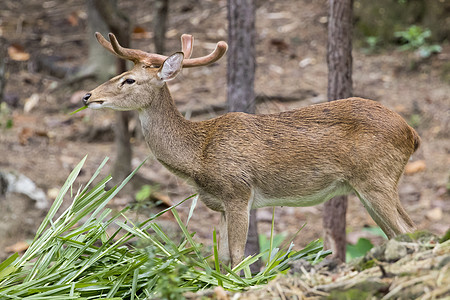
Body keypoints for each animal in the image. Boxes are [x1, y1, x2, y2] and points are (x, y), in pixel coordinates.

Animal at [82, 32, 420, 268]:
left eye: (129, 80)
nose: (87, 96)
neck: (199, 155)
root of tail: (412, 134)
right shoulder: (219, 204)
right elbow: (220, 258)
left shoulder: (238, 192)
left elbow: (237, 256)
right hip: (374, 185)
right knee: (406, 230)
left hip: (376, 178)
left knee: (407, 231)